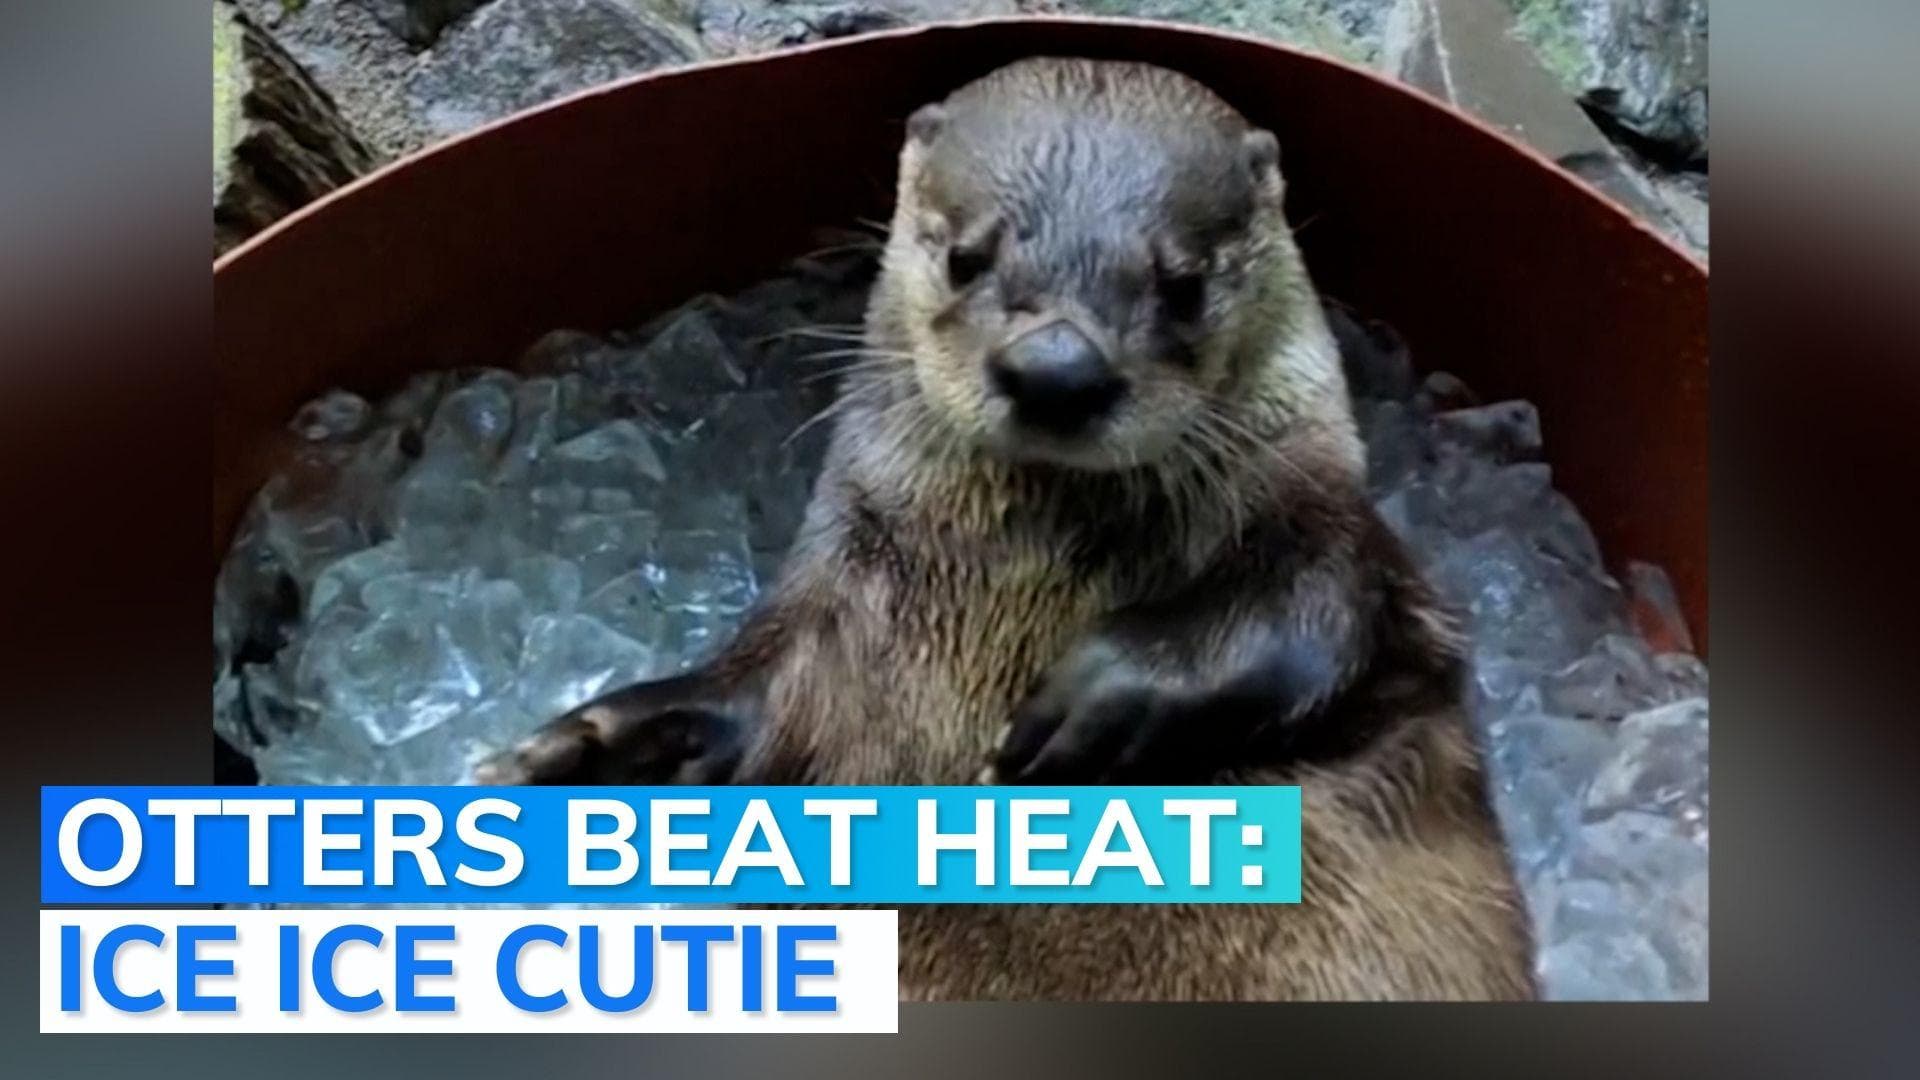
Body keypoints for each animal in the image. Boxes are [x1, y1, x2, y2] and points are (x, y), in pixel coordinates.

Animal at [477, 58, 1537, 1001]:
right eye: (965, 257)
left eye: (1183, 284)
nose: (1057, 369)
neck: (1024, 575)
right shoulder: (834, 608)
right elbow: (743, 706)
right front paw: (569, 757)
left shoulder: (1339, 531)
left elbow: (1318, 611)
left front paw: (1090, 706)